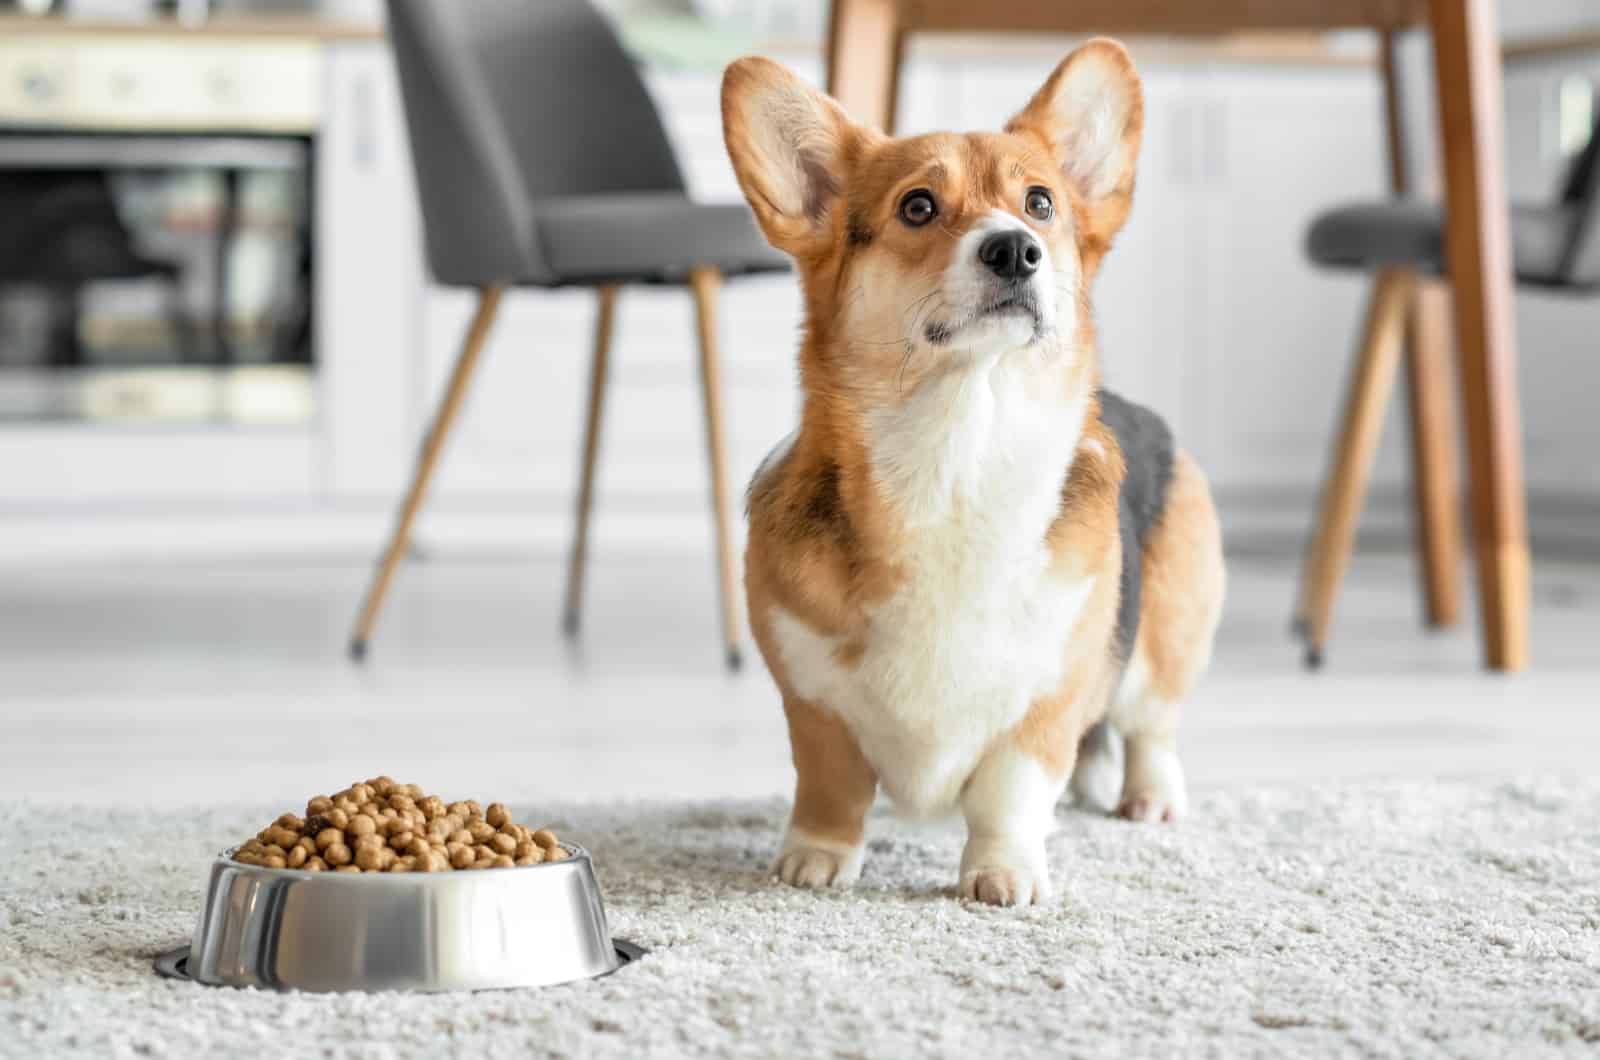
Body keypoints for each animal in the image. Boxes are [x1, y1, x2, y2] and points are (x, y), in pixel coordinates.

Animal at [723, 37, 1222, 909]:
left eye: (1040, 204)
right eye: (918, 206)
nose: (1015, 249)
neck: (956, 451)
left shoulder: (1045, 702)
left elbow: (1010, 792)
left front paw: (1003, 873)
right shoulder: (812, 702)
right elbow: (830, 787)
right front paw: (816, 859)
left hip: (1166, 635)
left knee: (1151, 727)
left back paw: (1150, 798)